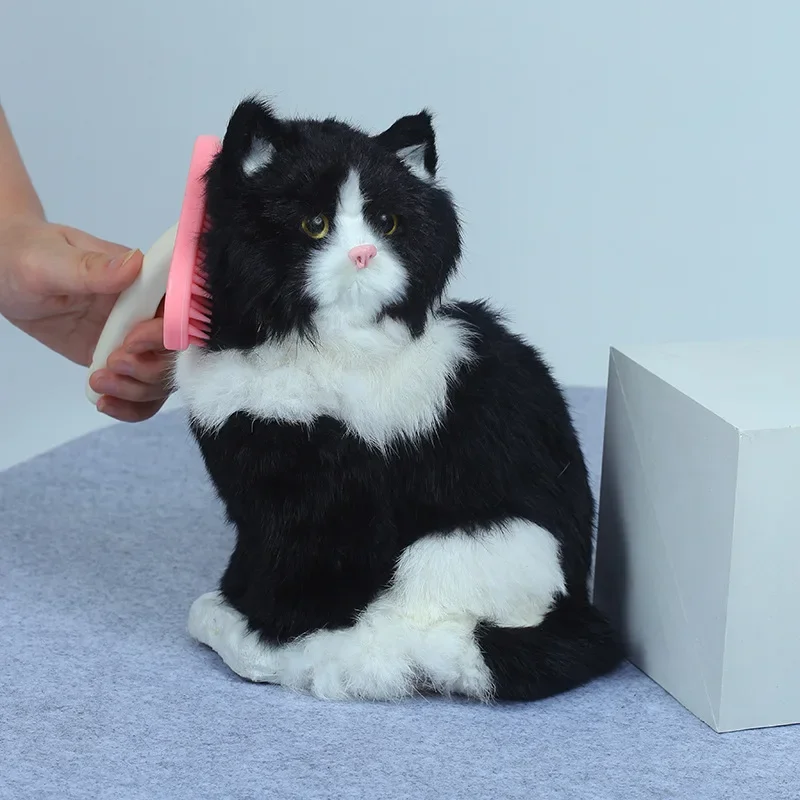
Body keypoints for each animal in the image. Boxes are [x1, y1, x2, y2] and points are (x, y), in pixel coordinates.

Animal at [173, 98, 624, 700]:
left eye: (385, 223)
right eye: (314, 224)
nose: (364, 253)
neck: (308, 347)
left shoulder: (334, 496)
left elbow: (311, 572)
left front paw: (269, 633)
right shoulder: (254, 483)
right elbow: (256, 553)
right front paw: (235, 603)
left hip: (469, 545)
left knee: (425, 638)